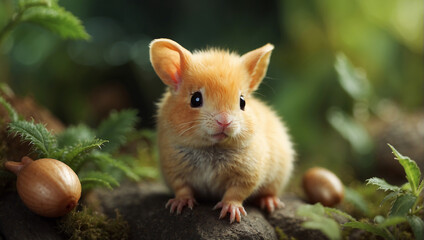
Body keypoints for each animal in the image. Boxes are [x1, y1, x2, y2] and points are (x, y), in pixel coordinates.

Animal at [150, 38, 294, 223]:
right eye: (195, 99)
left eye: (242, 102)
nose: (225, 122)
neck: (212, 148)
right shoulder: (173, 170)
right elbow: (182, 189)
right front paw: (178, 205)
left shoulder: (247, 174)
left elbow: (236, 193)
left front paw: (231, 212)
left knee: (269, 192)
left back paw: (270, 202)